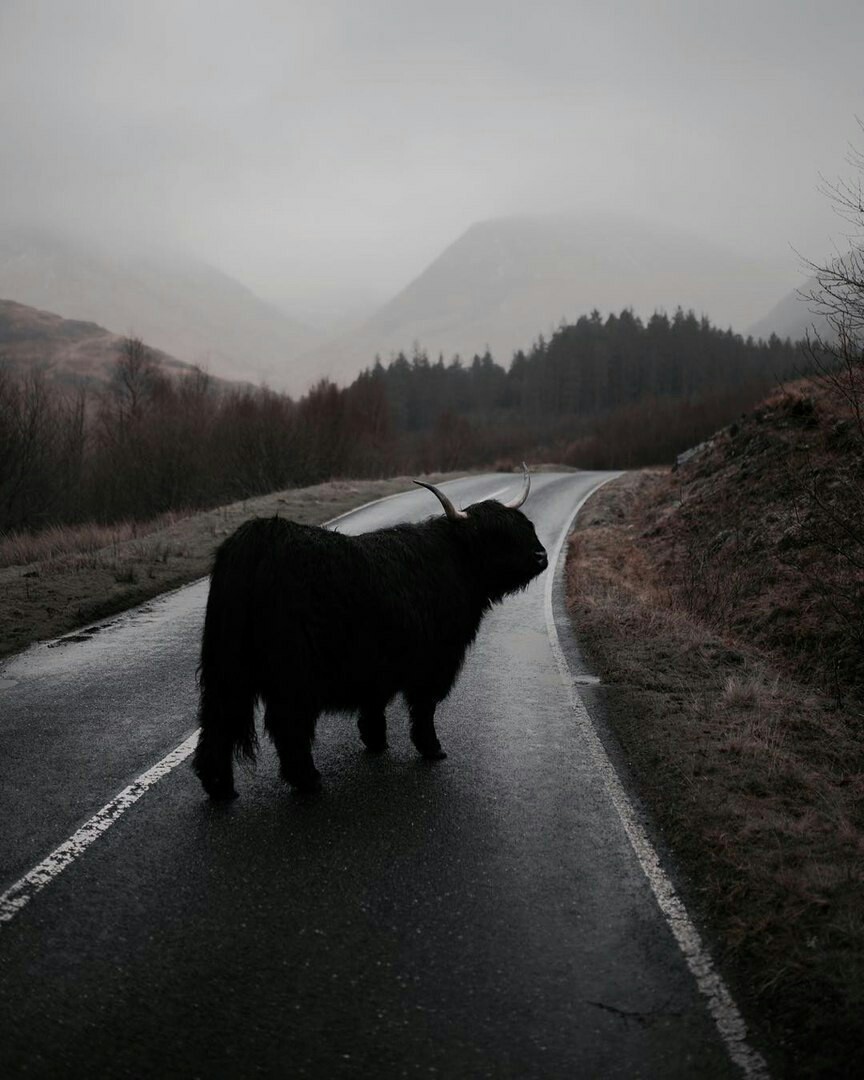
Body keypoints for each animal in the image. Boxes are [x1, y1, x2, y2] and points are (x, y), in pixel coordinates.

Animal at [194, 468, 546, 799]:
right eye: (497, 536)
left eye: (524, 526)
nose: (541, 557)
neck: (456, 562)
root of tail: (259, 536)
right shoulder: (433, 660)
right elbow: (424, 707)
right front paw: (431, 748)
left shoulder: (379, 661)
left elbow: (376, 701)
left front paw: (375, 740)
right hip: (293, 671)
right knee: (288, 723)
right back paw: (308, 780)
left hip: (226, 669)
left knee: (217, 722)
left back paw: (220, 788)